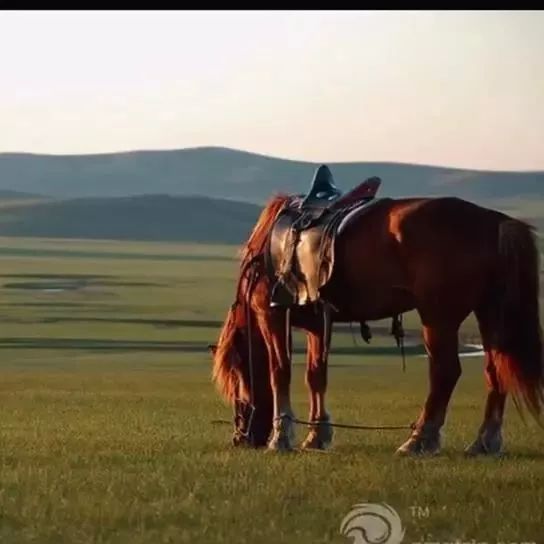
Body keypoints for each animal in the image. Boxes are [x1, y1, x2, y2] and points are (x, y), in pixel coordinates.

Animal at [210, 185, 540, 456]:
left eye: (236, 381)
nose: (241, 438)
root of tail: (493, 221)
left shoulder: (272, 314)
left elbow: (280, 371)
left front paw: (280, 437)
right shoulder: (318, 324)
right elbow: (316, 375)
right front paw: (317, 436)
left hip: (438, 317)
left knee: (445, 372)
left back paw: (419, 440)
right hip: (490, 314)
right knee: (495, 372)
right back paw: (484, 442)